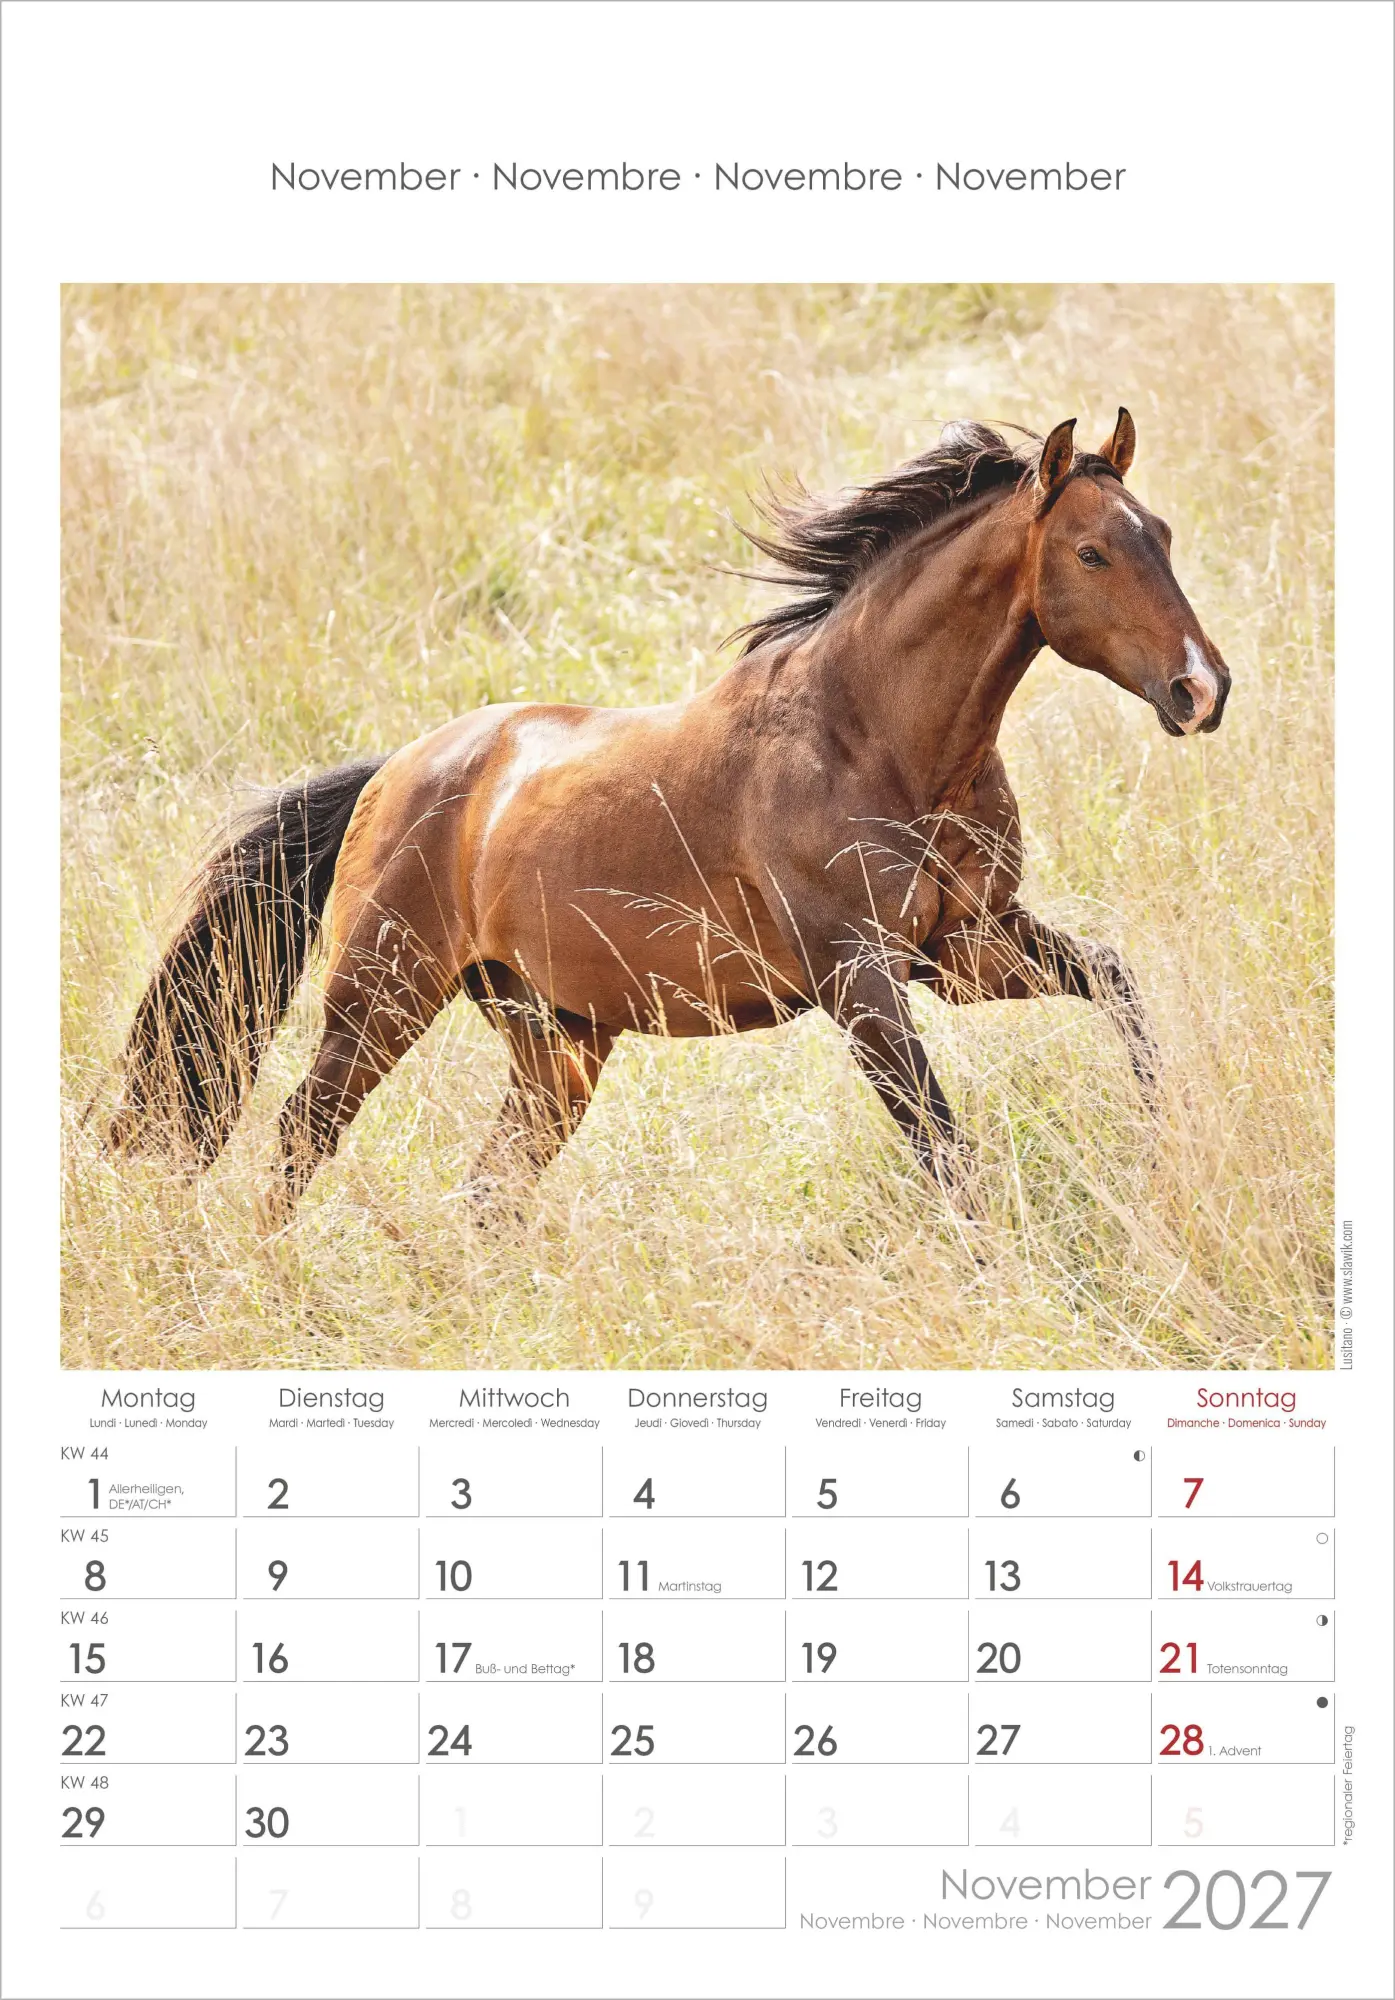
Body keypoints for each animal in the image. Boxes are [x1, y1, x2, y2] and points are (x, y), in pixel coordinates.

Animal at [108, 410, 1231, 1221]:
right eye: (1090, 553)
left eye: (1164, 535)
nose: (1201, 689)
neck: (873, 736)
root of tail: (396, 774)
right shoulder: (860, 977)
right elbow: (941, 1143)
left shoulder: (964, 949)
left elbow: (1117, 986)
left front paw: (1164, 1150)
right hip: (381, 996)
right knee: (303, 1131)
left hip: (552, 1039)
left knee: (490, 1186)